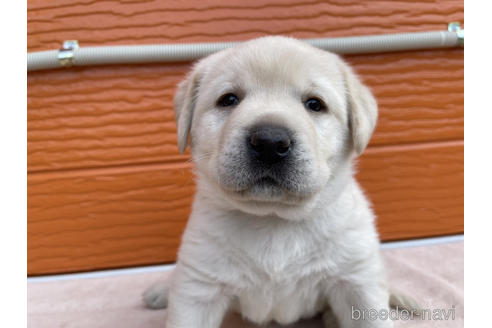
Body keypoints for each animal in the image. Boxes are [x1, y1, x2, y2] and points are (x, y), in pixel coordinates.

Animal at [142, 36, 392, 328]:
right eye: (228, 99)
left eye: (315, 104)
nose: (270, 142)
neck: (274, 220)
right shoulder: (198, 288)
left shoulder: (357, 282)